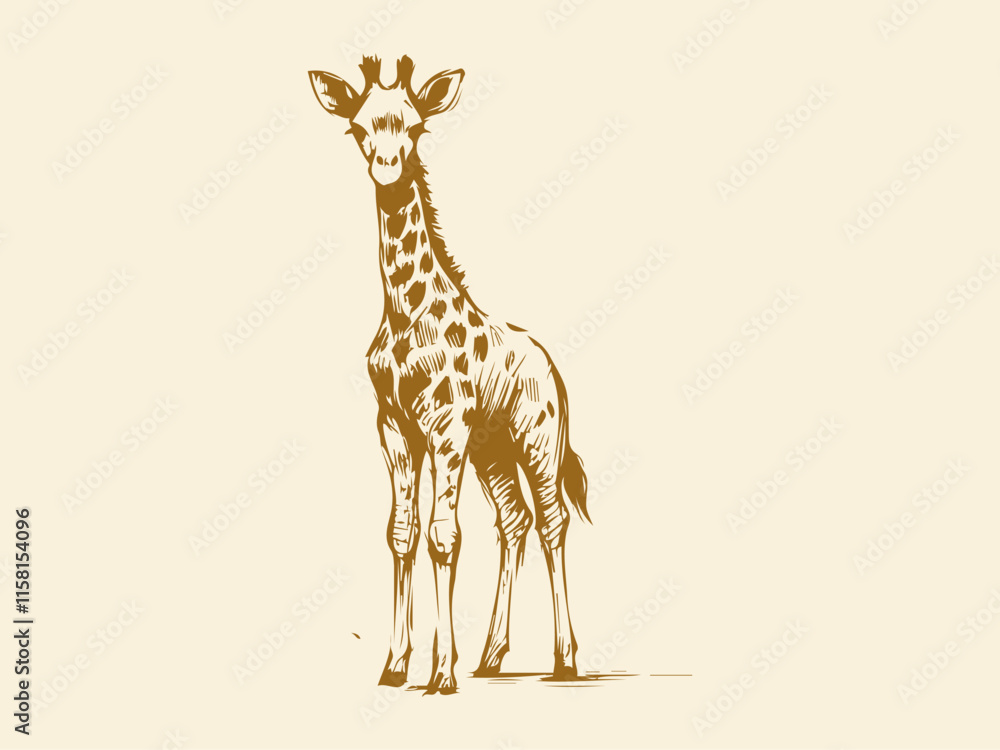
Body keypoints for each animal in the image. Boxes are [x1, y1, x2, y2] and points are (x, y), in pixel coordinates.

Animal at [309, 55, 590, 693]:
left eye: (415, 128)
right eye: (358, 128)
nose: (387, 168)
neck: (404, 312)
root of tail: (552, 368)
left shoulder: (446, 430)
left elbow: (444, 536)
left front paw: (440, 672)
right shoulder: (395, 428)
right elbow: (402, 533)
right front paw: (394, 666)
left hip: (537, 441)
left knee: (552, 522)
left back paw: (564, 660)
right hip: (494, 450)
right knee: (513, 521)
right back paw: (492, 656)